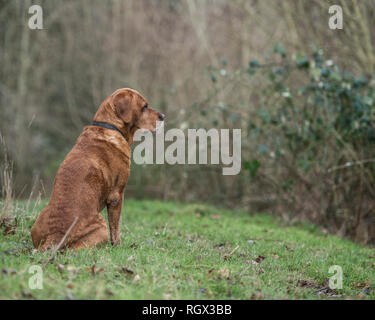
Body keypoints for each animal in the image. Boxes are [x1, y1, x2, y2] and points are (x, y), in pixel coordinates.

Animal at [30, 87, 164, 250]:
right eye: (144, 106)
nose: (163, 116)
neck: (110, 126)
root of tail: (55, 237)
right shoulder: (117, 196)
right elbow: (116, 228)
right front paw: (118, 246)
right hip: (101, 228)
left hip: (38, 221)